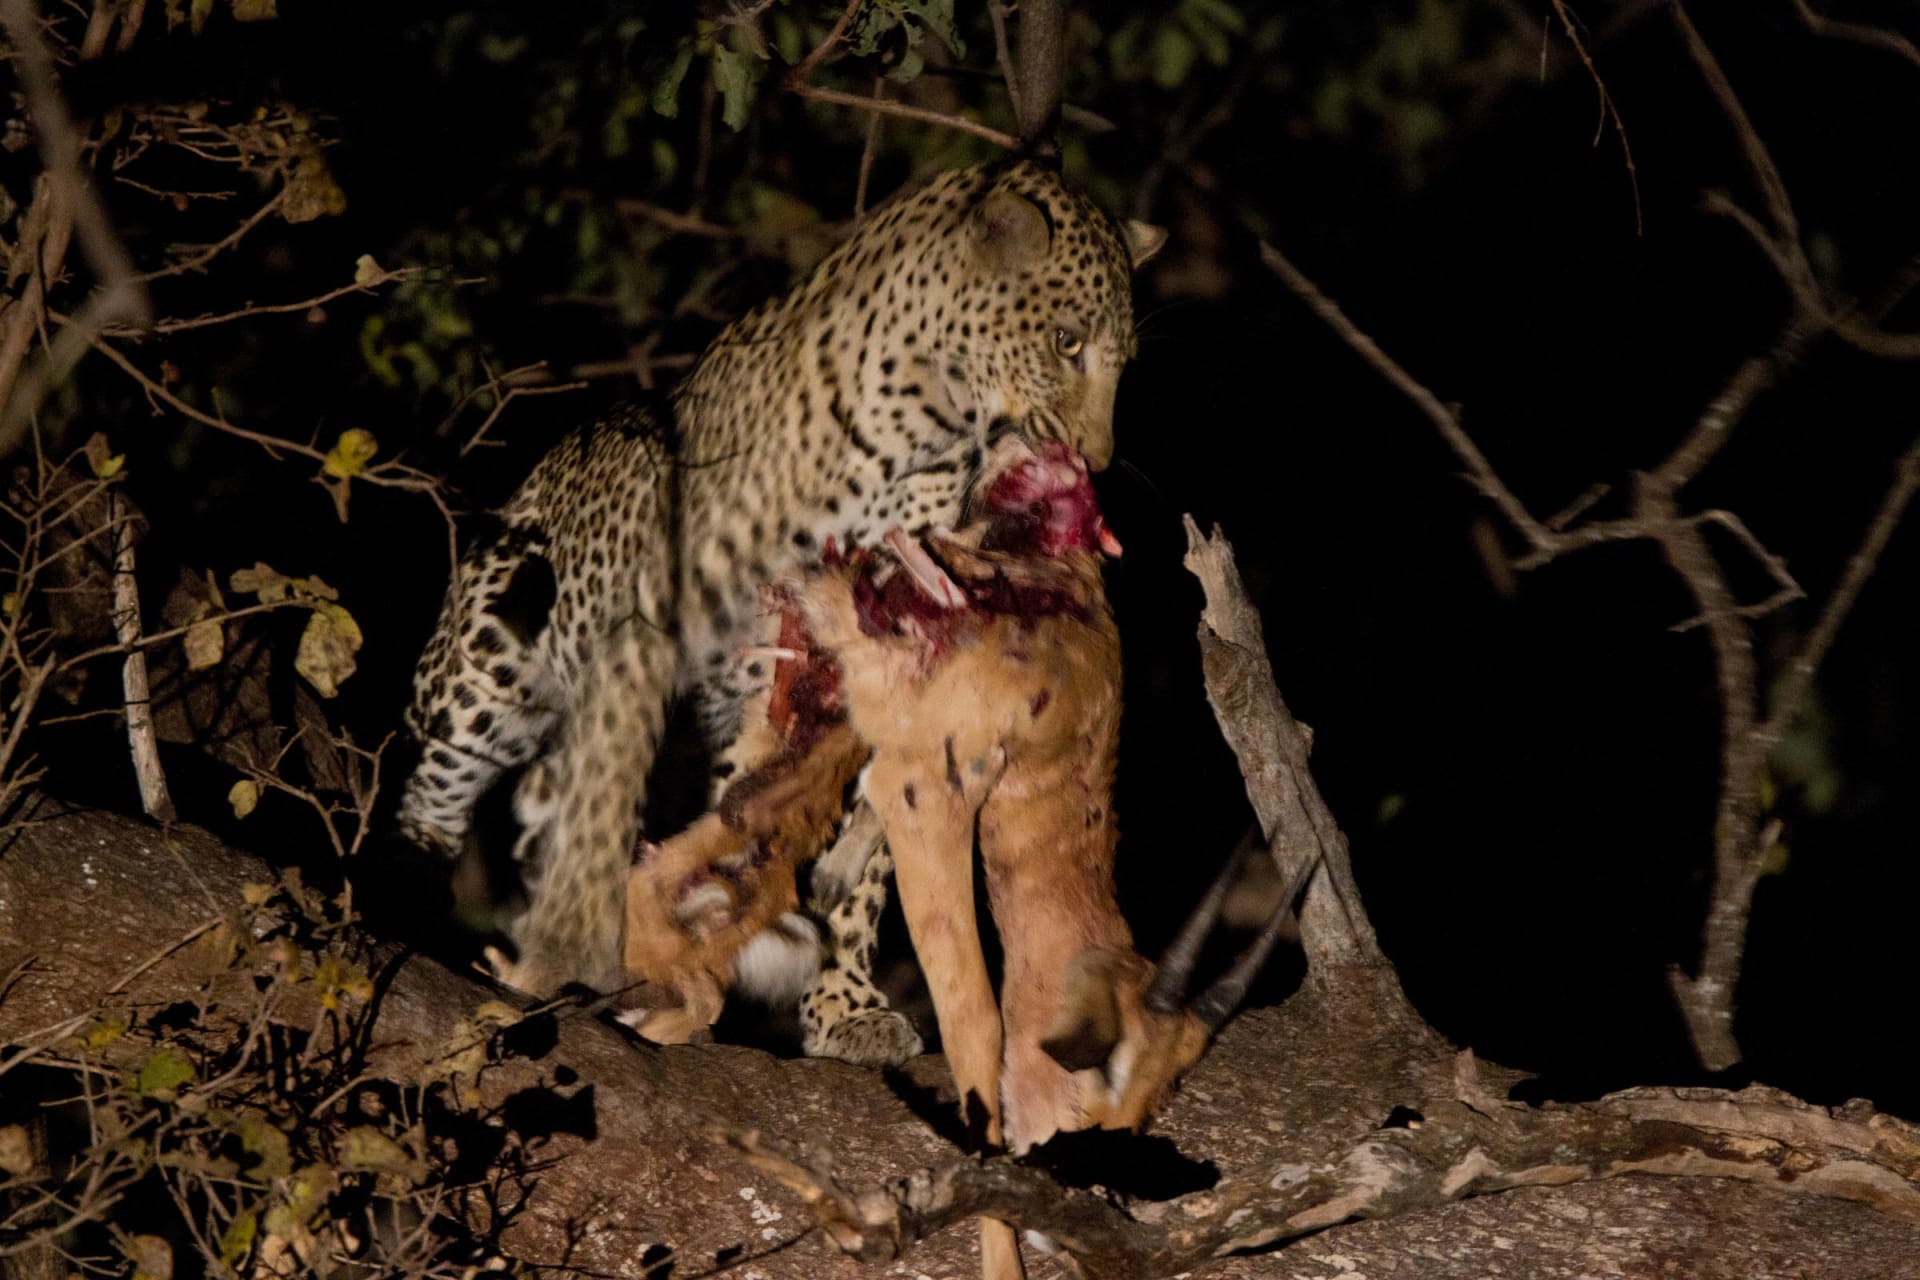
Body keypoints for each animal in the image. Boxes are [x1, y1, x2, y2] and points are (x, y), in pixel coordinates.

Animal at [397, 158, 1165, 1066]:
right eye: (1066, 342)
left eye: (1121, 361)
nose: (1096, 458)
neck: (921, 422)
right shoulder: (668, 630)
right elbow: (620, 799)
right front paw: (572, 958)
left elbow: (854, 846)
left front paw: (843, 1003)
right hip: (493, 655)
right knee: (436, 789)